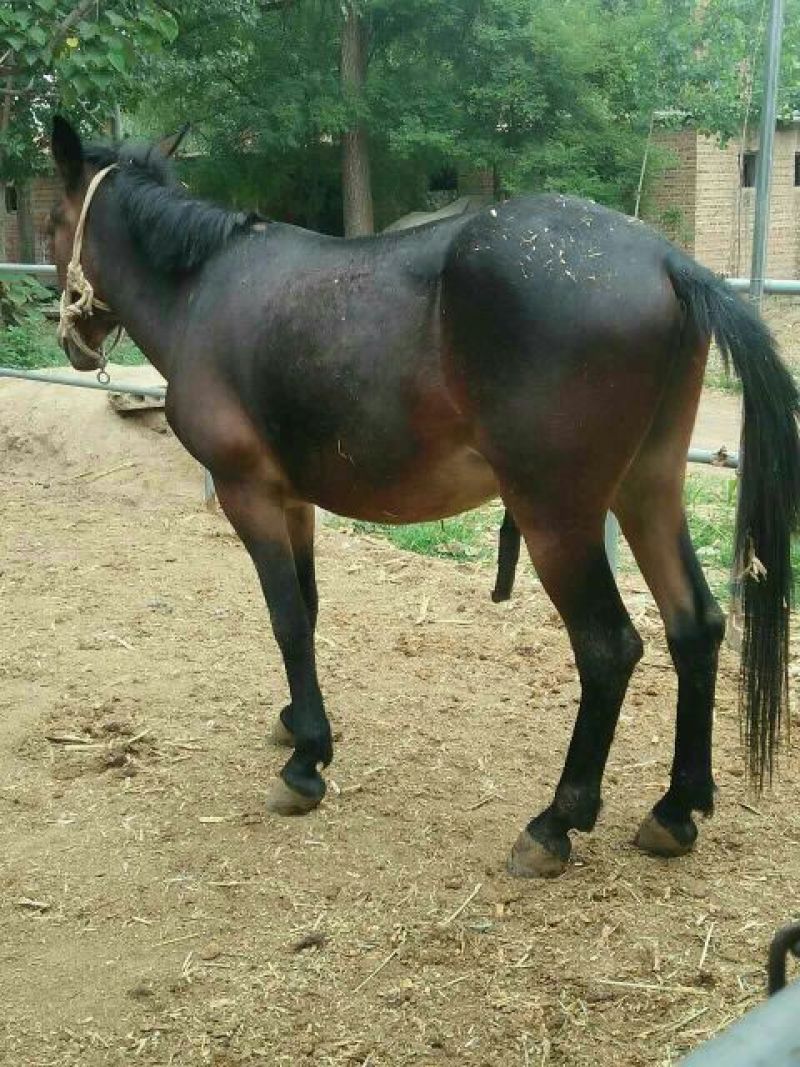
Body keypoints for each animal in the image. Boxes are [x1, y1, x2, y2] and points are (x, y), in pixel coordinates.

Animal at [47, 116, 800, 878]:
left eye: (52, 222)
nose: (74, 345)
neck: (204, 290)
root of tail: (667, 262)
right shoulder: (295, 501)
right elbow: (308, 608)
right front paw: (297, 723)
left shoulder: (248, 492)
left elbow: (286, 620)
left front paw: (306, 762)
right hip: (647, 489)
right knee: (695, 625)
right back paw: (676, 810)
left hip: (558, 519)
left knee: (608, 649)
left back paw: (554, 823)